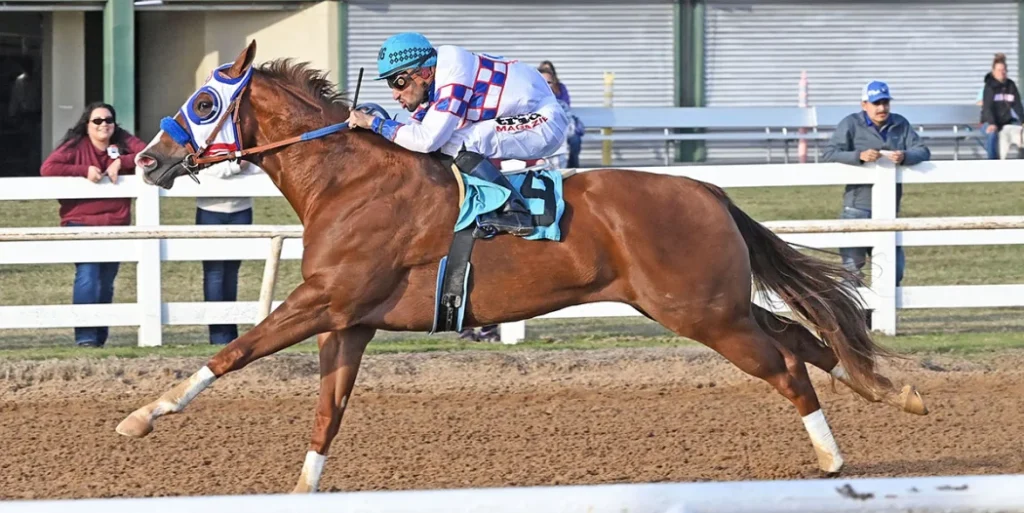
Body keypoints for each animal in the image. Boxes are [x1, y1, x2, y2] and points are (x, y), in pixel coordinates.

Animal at [117, 40, 927, 493]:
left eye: (204, 101)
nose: (146, 159)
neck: (347, 182)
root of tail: (709, 191)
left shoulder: (323, 298)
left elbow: (234, 351)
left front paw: (141, 416)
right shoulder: (347, 320)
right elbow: (327, 413)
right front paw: (300, 487)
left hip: (702, 312)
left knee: (786, 365)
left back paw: (831, 460)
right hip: (708, 302)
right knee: (806, 338)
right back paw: (897, 393)